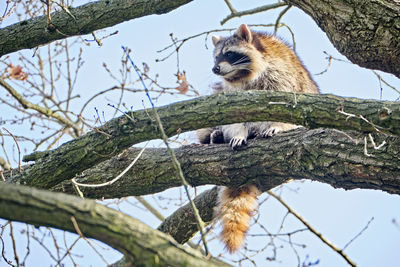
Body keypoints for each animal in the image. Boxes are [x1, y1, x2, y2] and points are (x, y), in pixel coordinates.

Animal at [198, 24, 320, 253]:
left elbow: (287, 109)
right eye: (216, 57)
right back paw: (216, 135)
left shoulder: (282, 78)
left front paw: (275, 126)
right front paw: (236, 133)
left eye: (229, 54)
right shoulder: (231, 94)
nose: (215, 69)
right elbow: (232, 117)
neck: (242, 75)